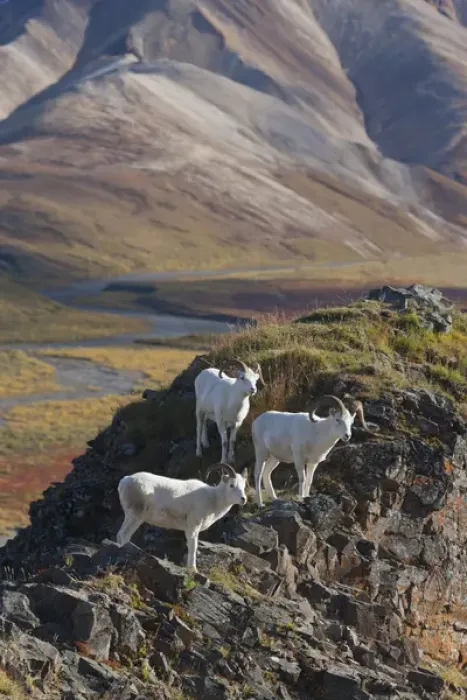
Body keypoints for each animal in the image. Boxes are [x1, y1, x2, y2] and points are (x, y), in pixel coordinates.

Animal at [116, 463, 248, 571]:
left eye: (244, 486)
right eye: (231, 485)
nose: (243, 499)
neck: (212, 499)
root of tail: (124, 481)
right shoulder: (193, 527)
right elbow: (193, 547)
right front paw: (193, 570)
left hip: (130, 517)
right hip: (136, 517)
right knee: (124, 535)